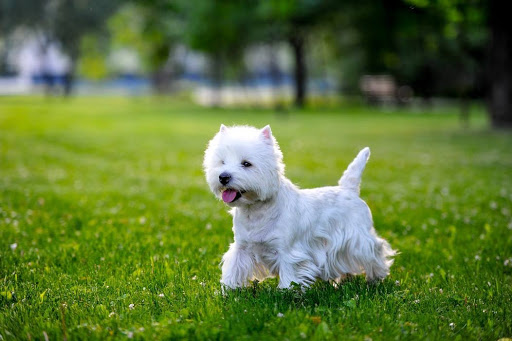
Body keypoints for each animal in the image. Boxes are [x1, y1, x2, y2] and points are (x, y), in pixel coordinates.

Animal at [204, 123, 396, 288]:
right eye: (222, 162)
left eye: (246, 163)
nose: (223, 177)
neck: (256, 210)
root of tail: (349, 189)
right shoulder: (242, 247)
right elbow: (233, 269)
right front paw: (227, 290)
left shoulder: (288, 251)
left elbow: (289, 273)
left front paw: (286, 293)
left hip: (358, 239)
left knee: (375, 251)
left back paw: (377, 278)